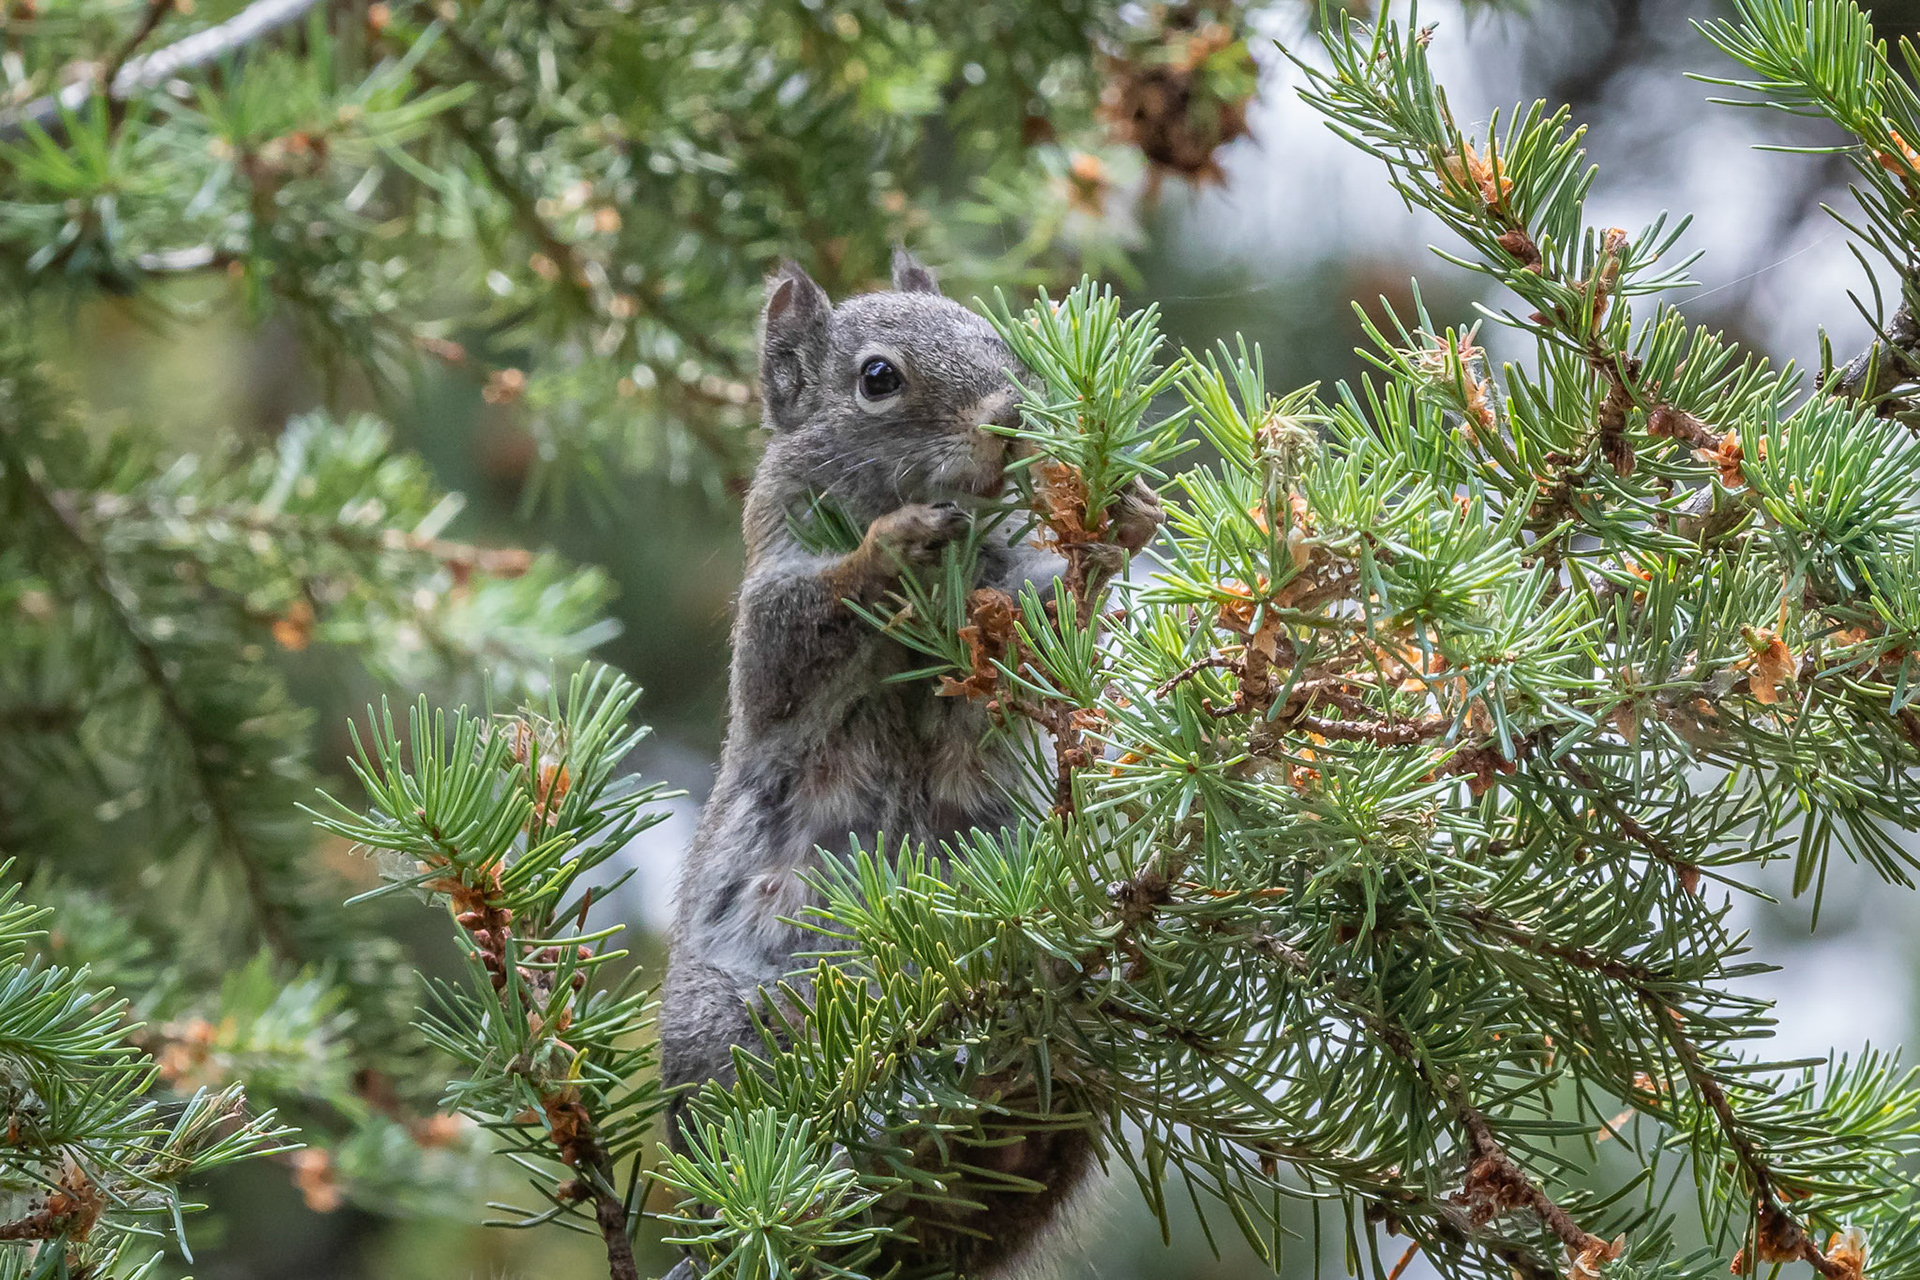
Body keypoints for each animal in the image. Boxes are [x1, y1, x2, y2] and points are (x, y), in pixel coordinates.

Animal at [658, 250, 1160, 1277]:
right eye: (879, 378)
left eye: (1000, 339)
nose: (1011, 417)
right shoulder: (769, 620)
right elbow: (798, 637)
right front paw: (883, 550)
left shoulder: (991, 636)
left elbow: (1045, 636)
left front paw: (1120, 522)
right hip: (725, 1030)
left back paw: (1012, 1124)